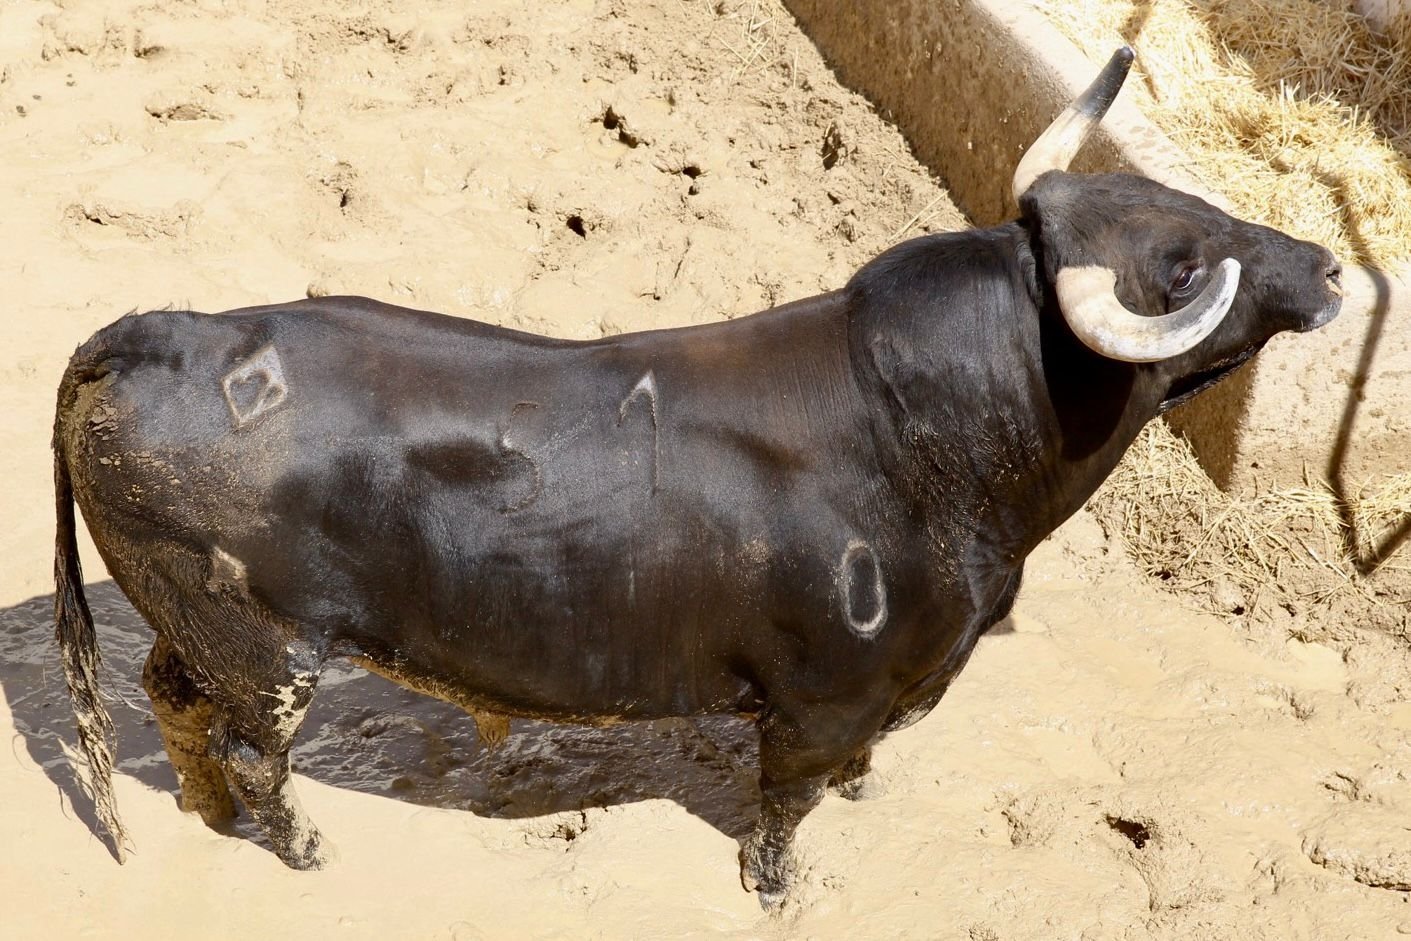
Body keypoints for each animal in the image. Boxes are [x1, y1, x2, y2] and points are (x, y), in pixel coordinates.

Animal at [52, 48, 1341, 906]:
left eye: (1186, 206)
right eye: (1181, 264)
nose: (1328, 265)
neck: (939, 435)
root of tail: (152, 333)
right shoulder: (820, 698)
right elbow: (786, 801)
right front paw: (778, 889)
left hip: (196, 624)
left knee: (171, 700)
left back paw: (208, 815)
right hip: (264, 646)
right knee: (251, 743)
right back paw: (299, 846)